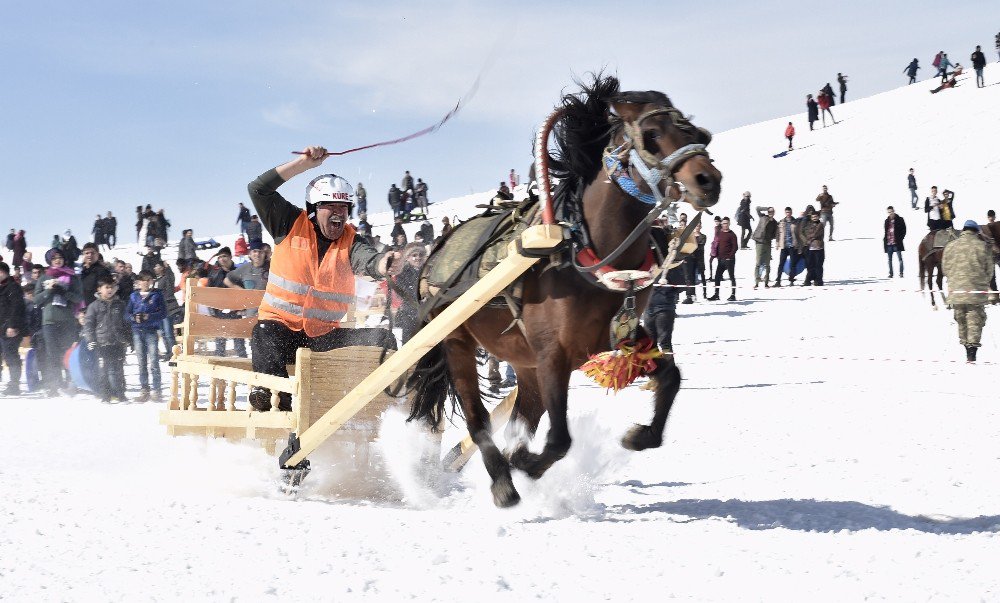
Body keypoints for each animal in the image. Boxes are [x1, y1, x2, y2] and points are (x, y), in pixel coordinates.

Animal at [404, 76, 720, 510]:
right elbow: (558, 440)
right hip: (455, 341)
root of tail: (437, 250)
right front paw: (523, 464)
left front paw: (639, 435)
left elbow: (670, 378)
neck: (583, 253)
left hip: (523, 362)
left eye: (695, 133)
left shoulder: (619, 336)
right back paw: (502, 482)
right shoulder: (552, 354)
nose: (709, 181)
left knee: (521, 417)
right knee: (477, 418)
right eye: (653, 135)